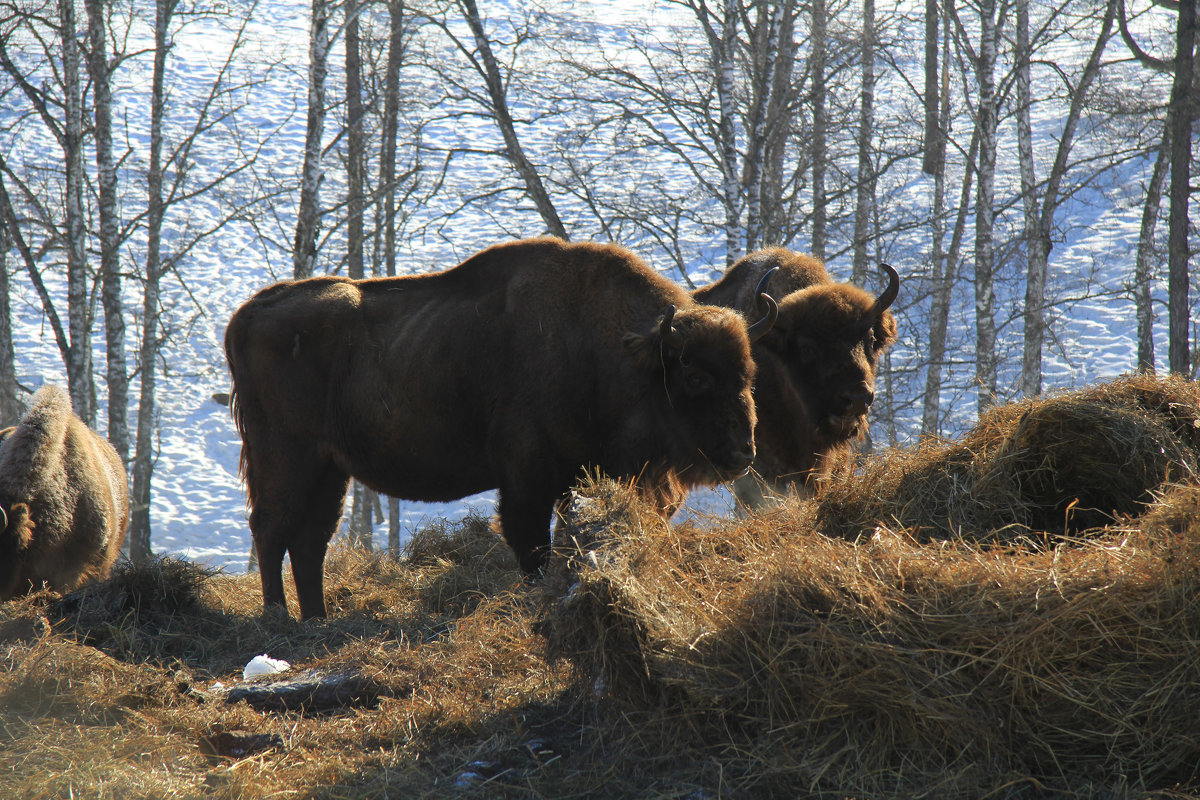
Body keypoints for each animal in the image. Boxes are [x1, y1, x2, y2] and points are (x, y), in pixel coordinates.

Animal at [225, 236, 772, 618]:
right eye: (696, 377)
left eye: (749, 374)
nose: (742, 453)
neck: (614, 351)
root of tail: (248, 314)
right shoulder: (527, 481)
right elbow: (530, 546)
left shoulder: (571, 482)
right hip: (285, 455)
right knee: (271, 528)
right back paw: (277, 617)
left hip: (329, 468)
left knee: (309, 539)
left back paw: (315, 619)